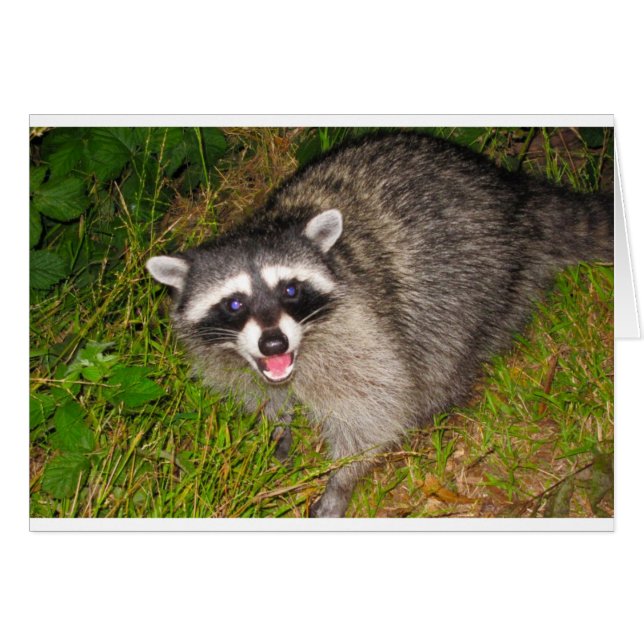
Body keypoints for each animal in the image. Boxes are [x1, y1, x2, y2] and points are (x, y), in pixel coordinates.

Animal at [146, 133, 613, 518]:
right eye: (234, 303)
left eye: (291, 290)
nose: (274, 344)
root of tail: (515, 192)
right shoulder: (233, 359)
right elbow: (261, 394)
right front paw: (277, 429)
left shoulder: (363, 327)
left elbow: (376, 408)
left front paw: (343, 478)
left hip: (484, 276)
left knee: (446, 349)